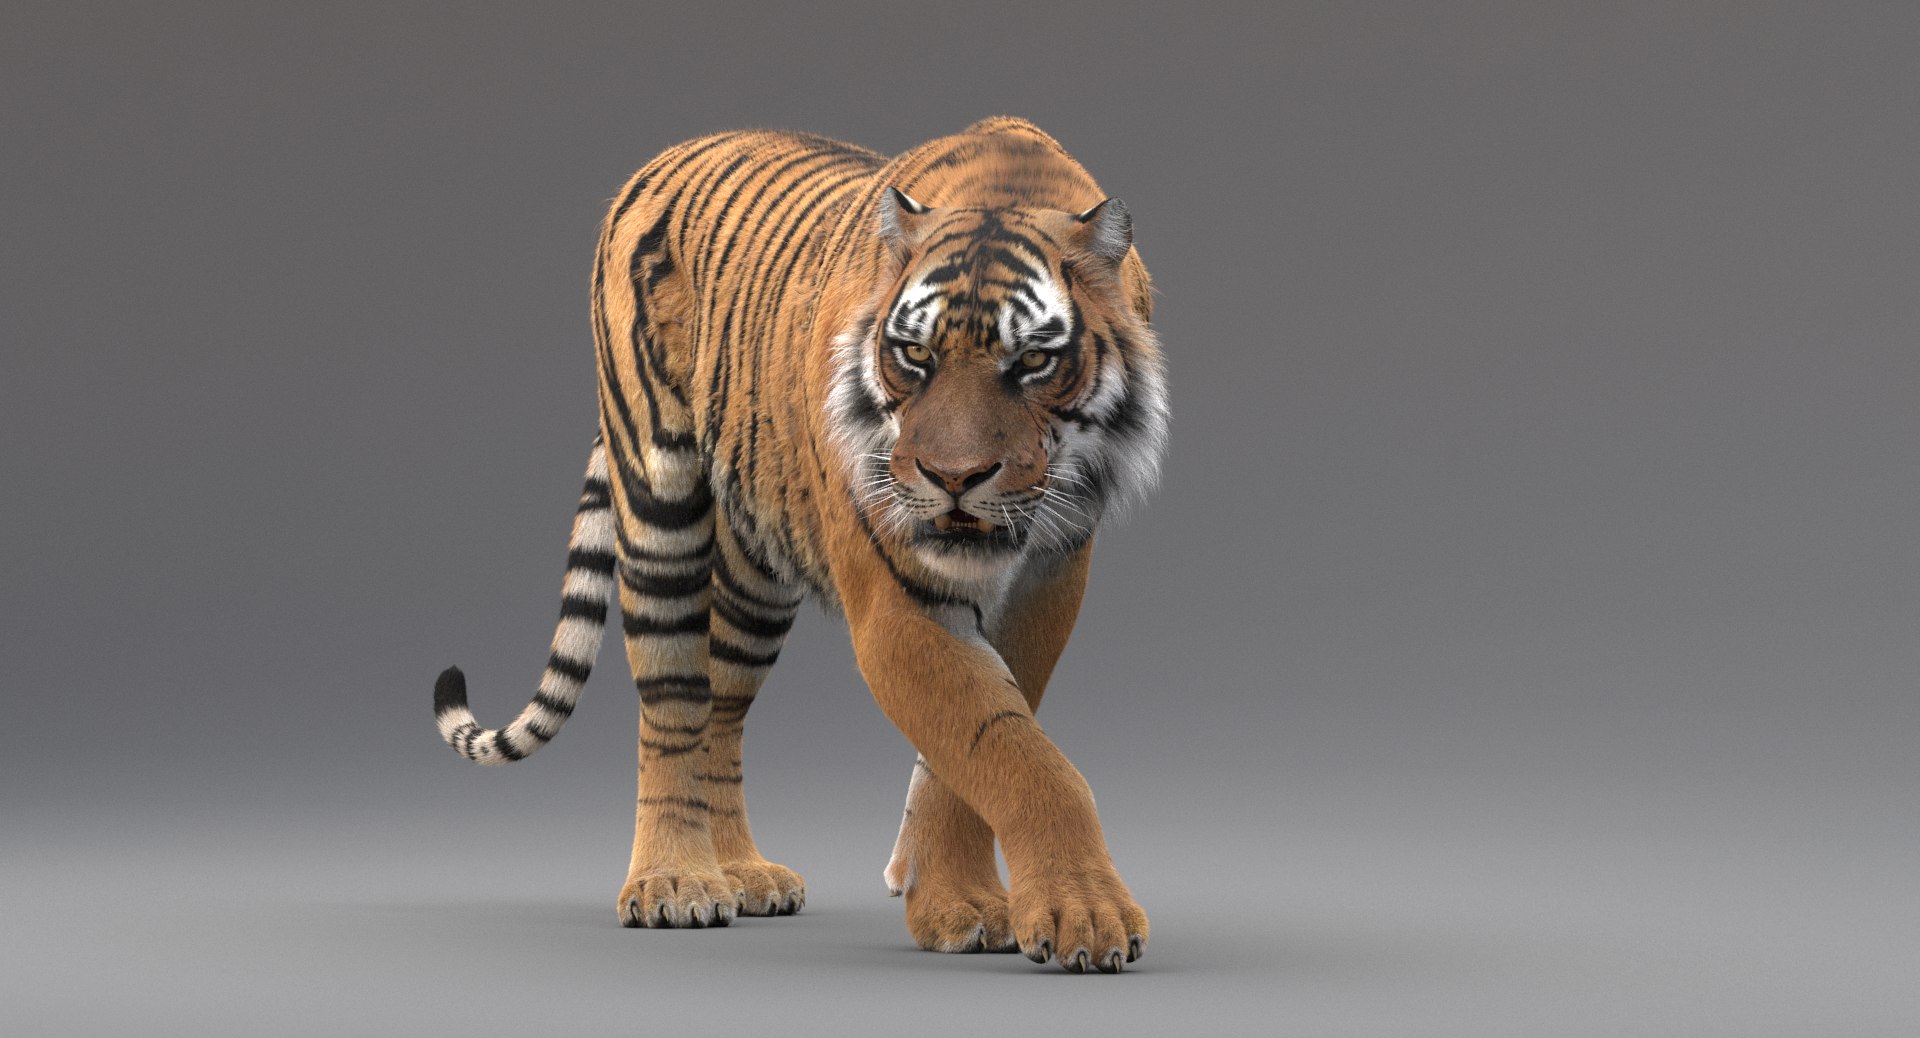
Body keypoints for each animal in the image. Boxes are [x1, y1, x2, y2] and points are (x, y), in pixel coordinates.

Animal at [432, 116, 1169, 974]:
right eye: (916, 356)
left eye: (1035, 362)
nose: (954, 478)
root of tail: (666, 156)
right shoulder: (898, 603)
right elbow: (1016, 753)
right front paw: (1083, 912)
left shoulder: (1048, 581)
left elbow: (976, 747)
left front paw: (957, 902)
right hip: (658, 495)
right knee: (673, 702)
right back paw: (673, 883)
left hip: (755, 575)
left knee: (721, 708)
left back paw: (743, 873)